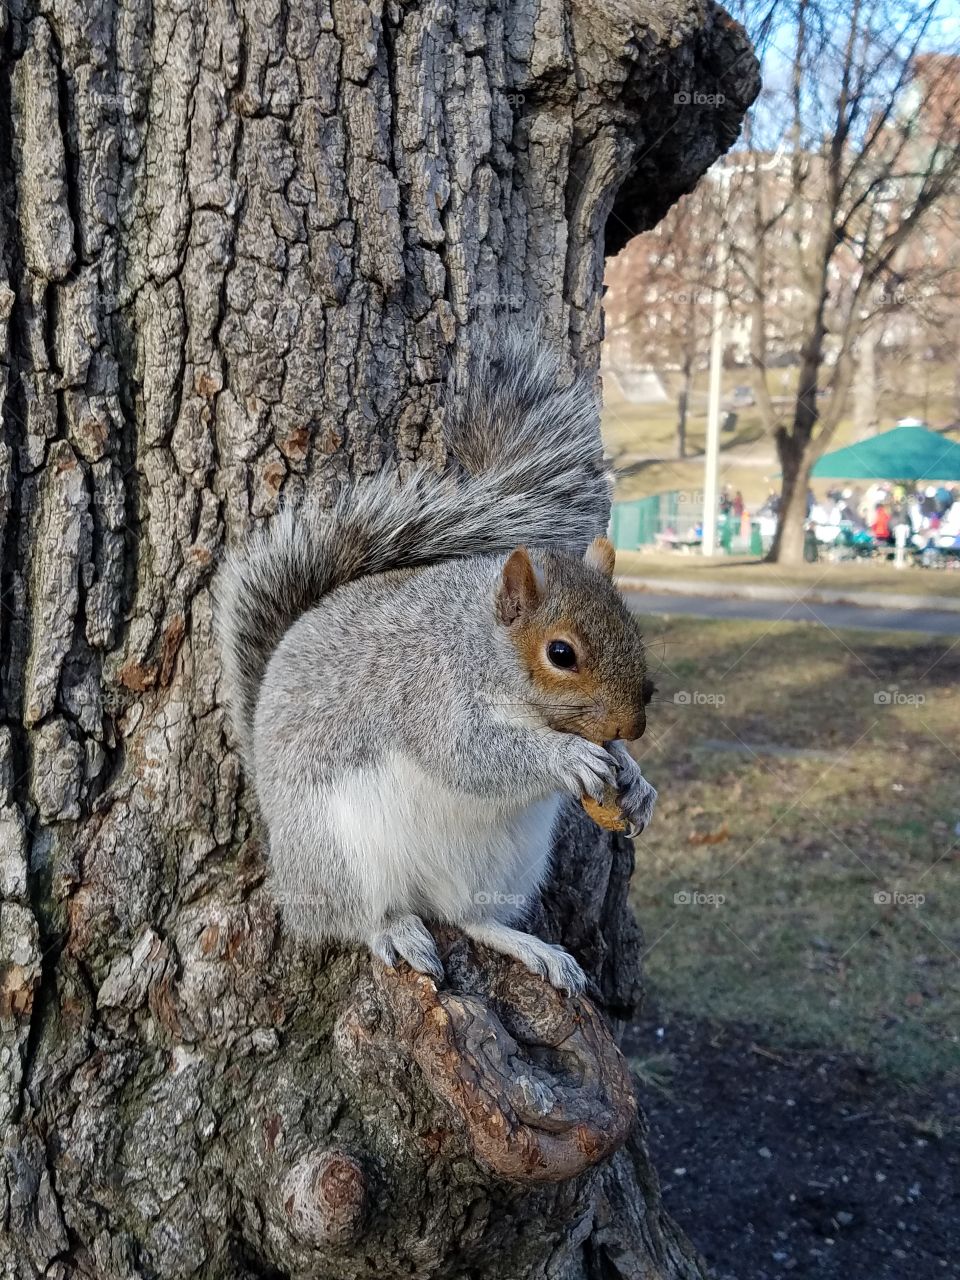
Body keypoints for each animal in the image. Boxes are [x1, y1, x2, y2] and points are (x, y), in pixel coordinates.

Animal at [214, 330, 657, 994]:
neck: (477, 643)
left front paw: (634, 777)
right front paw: (568, 758)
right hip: (340, 854)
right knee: (351, 921)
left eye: (632, 627)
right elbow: (469, 754)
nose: (633, 726)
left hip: (505, 868)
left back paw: (533, 948)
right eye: (561, 654)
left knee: (469, 917)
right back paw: (394, 930)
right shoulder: (426, 692)